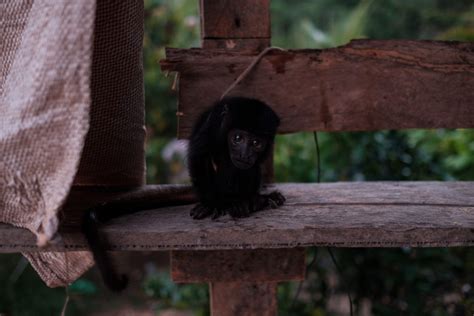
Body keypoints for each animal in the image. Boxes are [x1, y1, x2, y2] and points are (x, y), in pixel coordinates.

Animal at [80, 96, 286, 292]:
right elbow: (199, 155)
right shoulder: (213, 124)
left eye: (256, 143)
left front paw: (255, 199)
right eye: (237, 138)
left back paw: (252, 201)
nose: (245, 154)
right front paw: (212, 205)